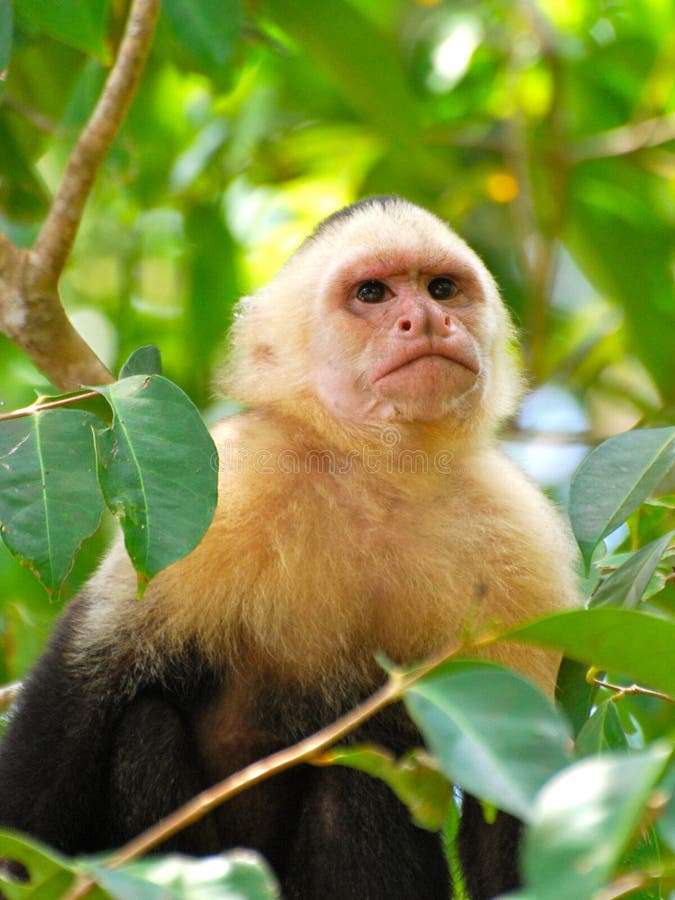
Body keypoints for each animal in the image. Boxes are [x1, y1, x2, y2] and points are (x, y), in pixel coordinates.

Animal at [0, 199, 580, 900]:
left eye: (442, 288)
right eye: (372, 294)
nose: (427, 319)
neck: (378, 475)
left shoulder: (523, 545)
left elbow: (515, 793)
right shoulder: (229, 480)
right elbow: (83, 681)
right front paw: (24, 875)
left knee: (364, 769)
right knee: (144, 730)